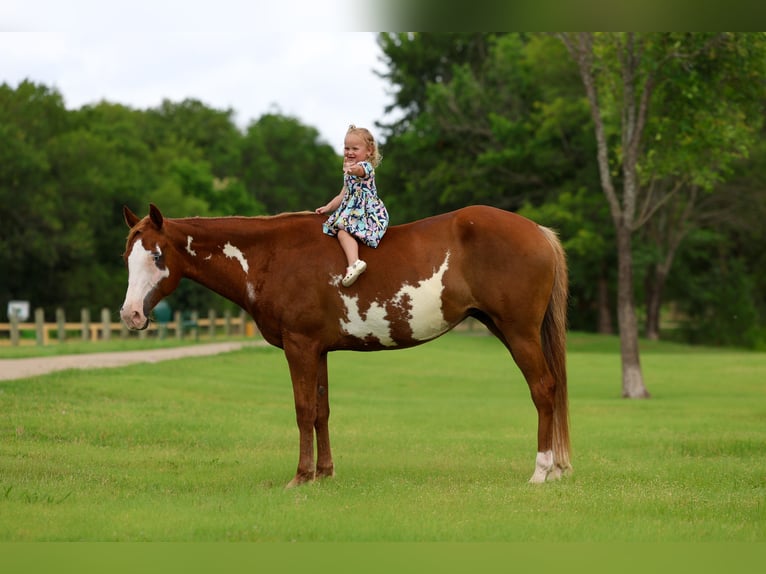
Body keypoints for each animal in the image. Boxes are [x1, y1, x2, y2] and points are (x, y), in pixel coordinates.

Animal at [120, 204, 571, 486]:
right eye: (127, 256)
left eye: (157, 256)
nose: (131, 315)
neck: (271, 256)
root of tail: (538, 231)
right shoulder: (318, 350)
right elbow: (322, 411)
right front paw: (324, 473)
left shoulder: (299, 346)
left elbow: (303, 410)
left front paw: (301, 477)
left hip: (519, 332)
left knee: (543, 390)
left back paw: (541, 472)